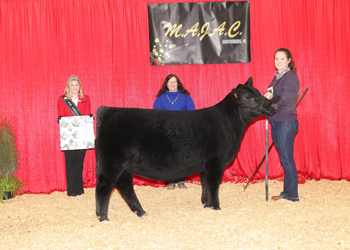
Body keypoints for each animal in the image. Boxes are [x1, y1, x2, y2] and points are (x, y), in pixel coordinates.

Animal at [95, 77, 276, 221]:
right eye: (250, 97)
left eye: (258, 92)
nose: (273, 105)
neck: (230, 123)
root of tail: (108, 109)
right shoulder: (215, 163)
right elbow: (213, 185)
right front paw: (216, 207)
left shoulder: (205, 166)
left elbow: (205, 184)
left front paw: (206, 205)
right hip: (112, 163)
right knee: (104, 187)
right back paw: (103, 217)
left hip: (124, 167)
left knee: (124, 187)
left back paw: (141, 212)